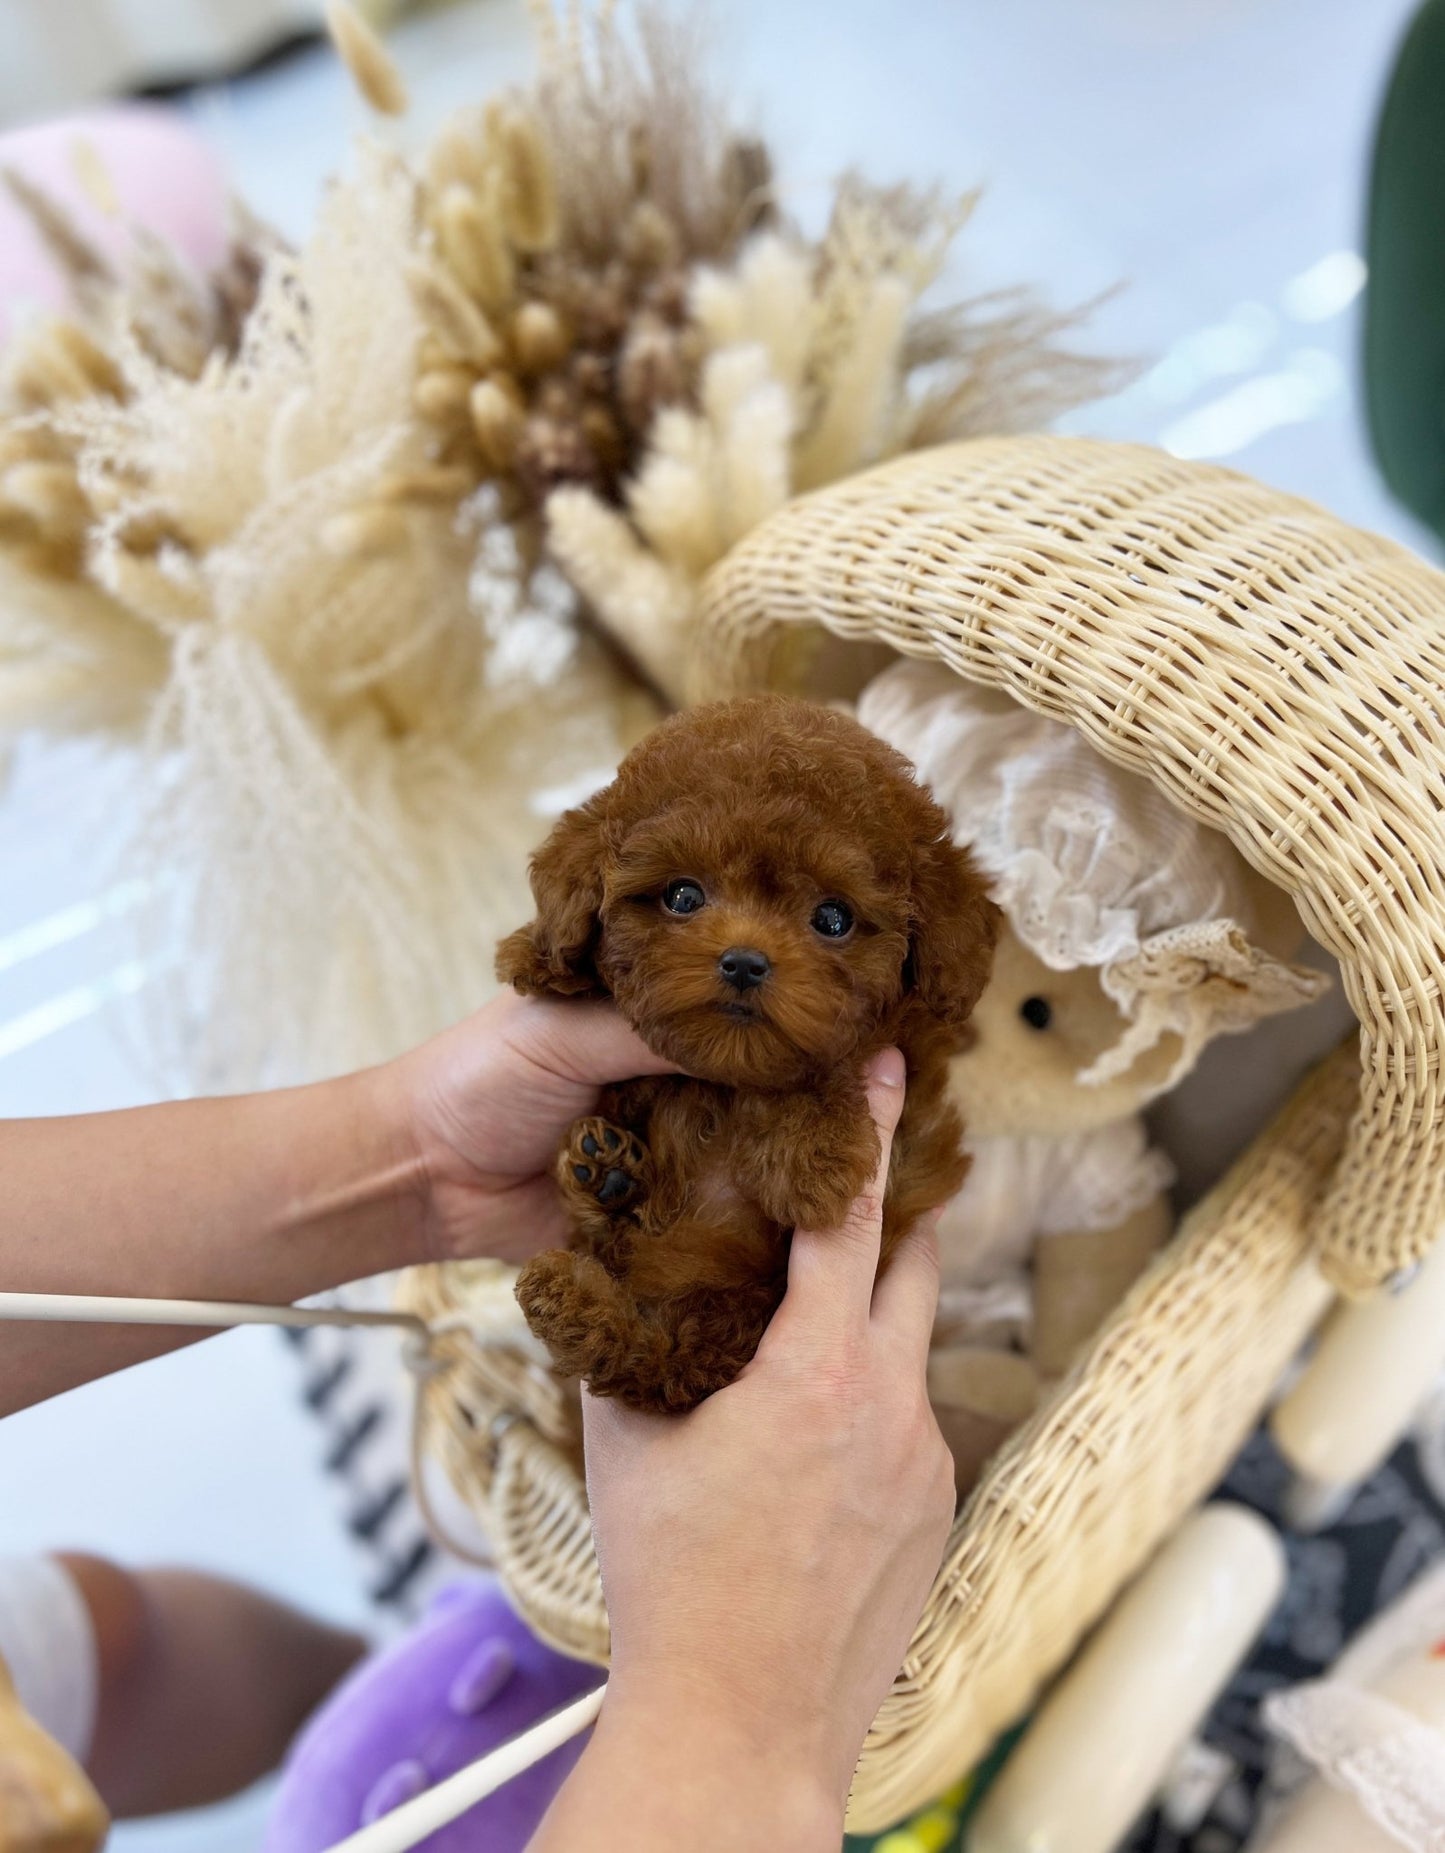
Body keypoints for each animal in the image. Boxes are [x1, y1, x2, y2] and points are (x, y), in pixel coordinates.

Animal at [496, 693, 992, 1400]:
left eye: (833, 918)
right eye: (682, 895)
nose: (744, 962)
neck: (729, 1081)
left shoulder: (911, 1079)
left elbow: (827, 1066)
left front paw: (814, 1158)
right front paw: (540, 954)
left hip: (734, 1315)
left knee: (655, 1361)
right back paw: (602, 1181)